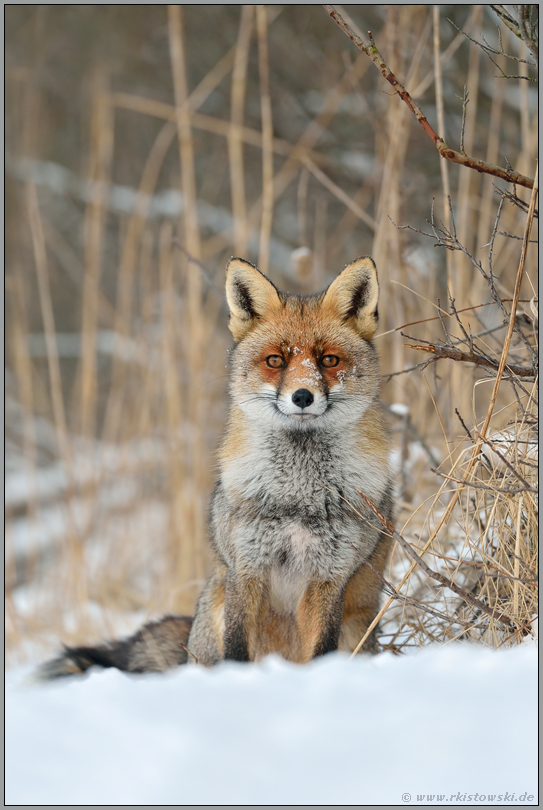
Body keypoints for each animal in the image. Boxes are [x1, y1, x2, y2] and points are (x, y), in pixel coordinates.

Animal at [39, 254, 396, 676]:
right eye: (276, 360)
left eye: (328, 360)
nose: (302, 396)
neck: (297, 494)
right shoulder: (246, 569)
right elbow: (237, 649)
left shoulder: (329, 578)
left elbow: (321, 650)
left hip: (356, 630)